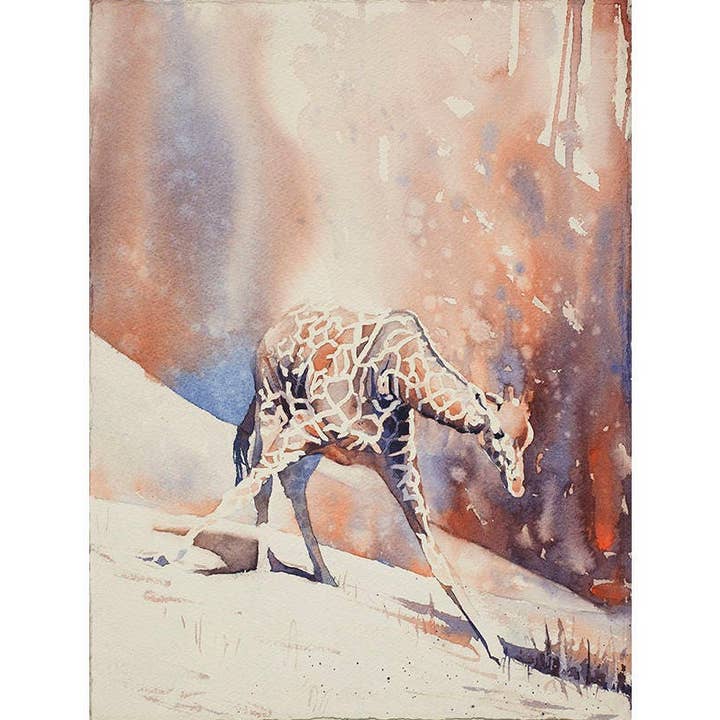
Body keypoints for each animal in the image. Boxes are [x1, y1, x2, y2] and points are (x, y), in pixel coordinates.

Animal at [185, 305, 534, 662]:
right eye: (497, 432)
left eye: (529, 439)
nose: (517, 485)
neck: (397, 380)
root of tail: (278, 324)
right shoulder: (307, 424)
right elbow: (244, 488)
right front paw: (179, 551)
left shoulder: (399, 466)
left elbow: (437, 559)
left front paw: (494, 646)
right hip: (271, 406)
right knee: (263, 484)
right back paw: (264, 567)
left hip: (313, 447)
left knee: (292, 485)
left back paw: (321, 575)